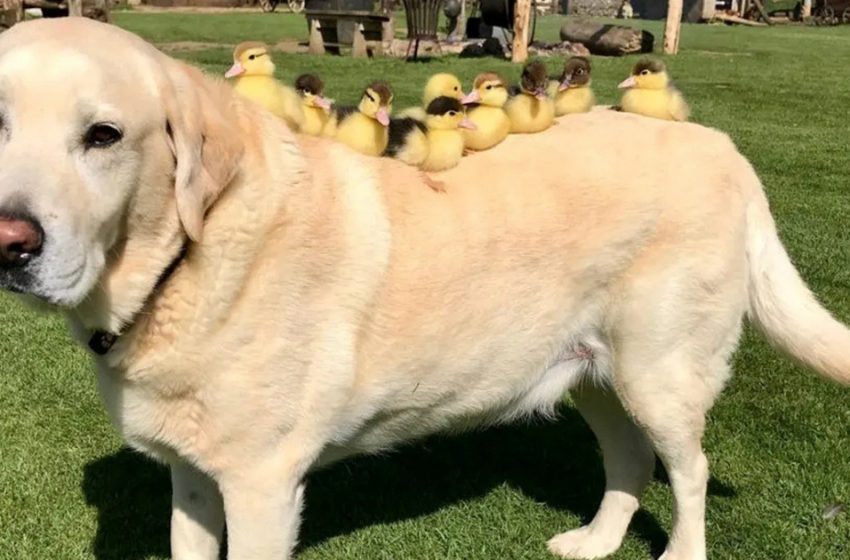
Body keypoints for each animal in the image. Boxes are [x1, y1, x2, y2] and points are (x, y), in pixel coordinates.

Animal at [1, 17, 848, 560]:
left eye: (104, 136)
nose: (11, 243)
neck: (186, 260)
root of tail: (722, 145)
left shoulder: (262, 486)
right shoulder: (194, 478)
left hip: (659, 373)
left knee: (689, 470)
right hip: (596, 374)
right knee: (631, 461)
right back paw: (597, 542)